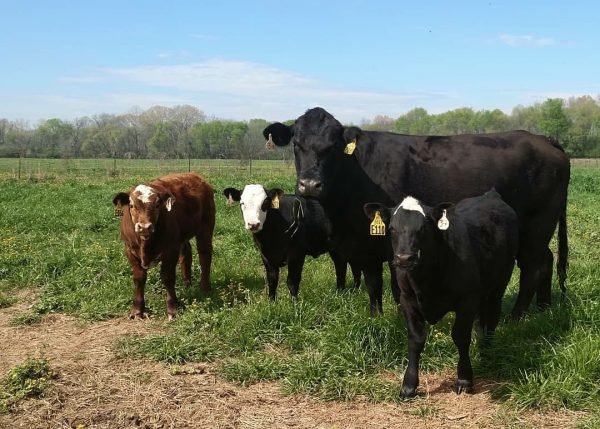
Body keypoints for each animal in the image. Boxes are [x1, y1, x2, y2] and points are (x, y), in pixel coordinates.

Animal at [113, 172, 216, 320]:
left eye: (157, 204)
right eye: (131, 205)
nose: (145, 227)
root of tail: (195, 176)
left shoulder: (170, 250)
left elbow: (168, 278)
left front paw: (172, 308)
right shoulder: (129, 249)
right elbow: (139, 278)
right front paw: (137, 310)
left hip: (206, 228)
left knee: (205, 255)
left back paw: (205, 288)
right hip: (182, 236)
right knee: (186, 253)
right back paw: (187, 284)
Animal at [221, 183, 358, 298]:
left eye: (265, 202)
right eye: (242, 203)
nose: (253, 224)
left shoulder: (296, 255)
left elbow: (292, 281)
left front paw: (295, 305)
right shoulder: (266, 256)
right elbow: (272, 280)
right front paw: (271, 303)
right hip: (336, 247)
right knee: (342, 265)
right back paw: (342, 292)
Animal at [264, 105, 568, 316]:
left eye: (332, 147)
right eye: (296, 145)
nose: (309, 185)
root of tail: (543, 139)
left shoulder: (383, 242)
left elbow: (389, 285)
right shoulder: (366, 245)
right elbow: (374, 284)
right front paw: (377, 316)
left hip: (537, 224)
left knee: (532, 266)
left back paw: (516, 316)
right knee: (546, 260)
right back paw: (543, 308)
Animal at [364, 189, 516, 396]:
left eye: (423, 228)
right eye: (392, 228)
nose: (404, 258)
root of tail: (490, 195)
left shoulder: (467, 299)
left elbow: (461, 336)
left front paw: (464, 379)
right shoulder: (407, 299)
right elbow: (416, 339)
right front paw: (409, 385)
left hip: (499, 285)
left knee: (492, 318)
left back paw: (486, 352)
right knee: (481, 321)